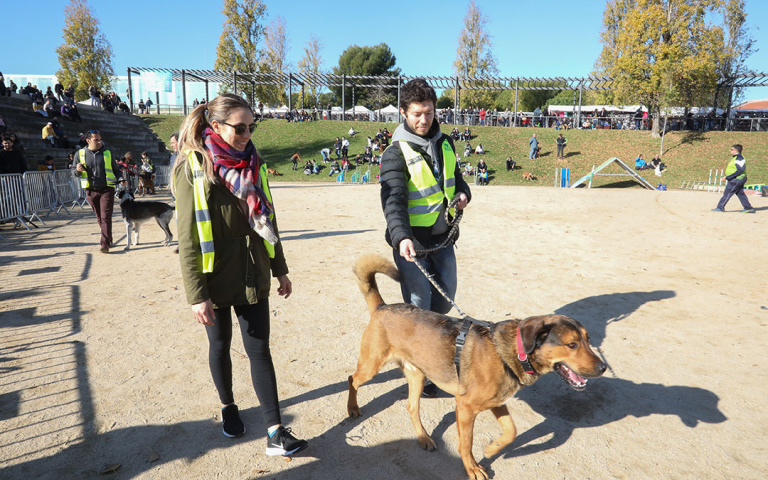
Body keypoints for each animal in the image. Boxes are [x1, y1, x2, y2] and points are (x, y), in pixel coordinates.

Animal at [348, 253, 608, 478]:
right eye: (572, 344)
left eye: (588, 340)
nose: (603, 368)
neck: (511, 352)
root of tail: (383, 307)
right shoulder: (465, 408)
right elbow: (466, 443)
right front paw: (472, 467)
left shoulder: (498, 402)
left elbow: (511, 431)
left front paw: (493, 448)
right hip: (372, 365)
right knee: (353, 379)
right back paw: (353, 408)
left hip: (418, 375)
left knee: (412, 407)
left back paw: (424, 438)